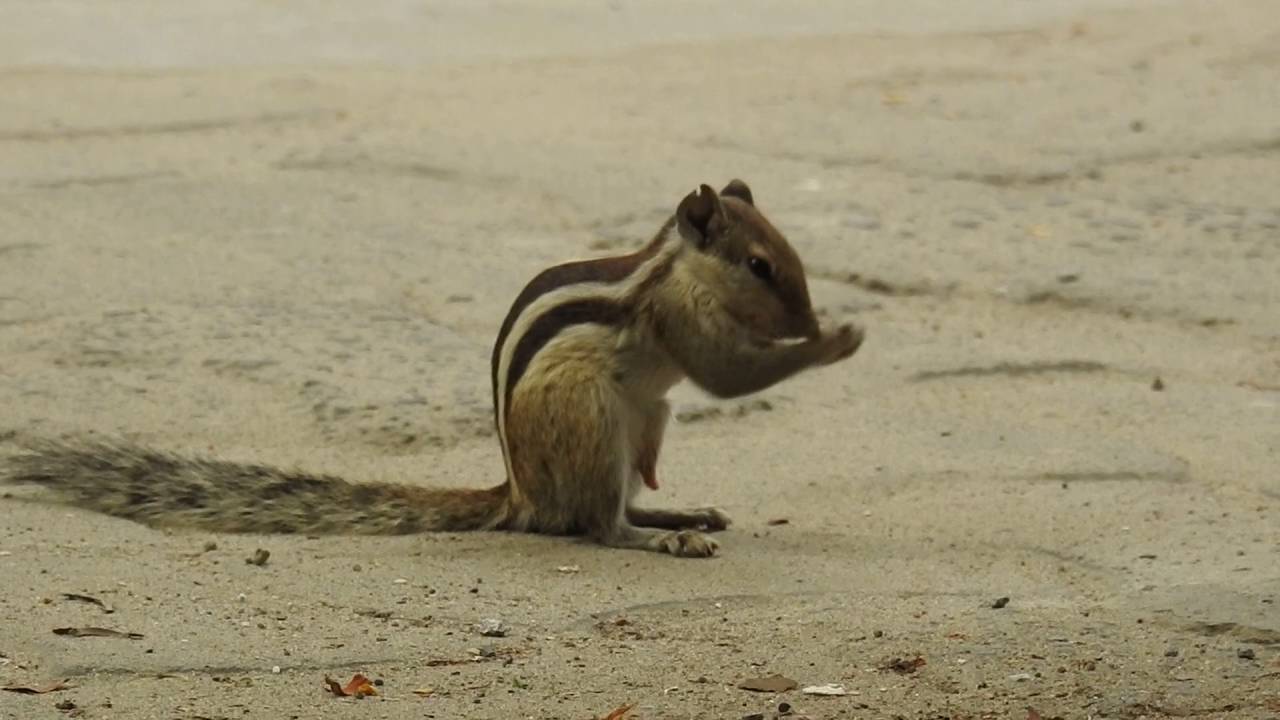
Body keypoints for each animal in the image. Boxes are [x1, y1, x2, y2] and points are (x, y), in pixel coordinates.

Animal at [2, 179, 864, 558]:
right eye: (759, 266)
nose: (807, 320)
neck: (677, 269)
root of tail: (518, 496)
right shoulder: (679, 319)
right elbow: (724, 375)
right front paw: (837, 341)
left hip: (642, 423)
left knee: (614, 502)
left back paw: (681, 514)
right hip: (593, 420)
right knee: (595, 524)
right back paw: (659, 539)